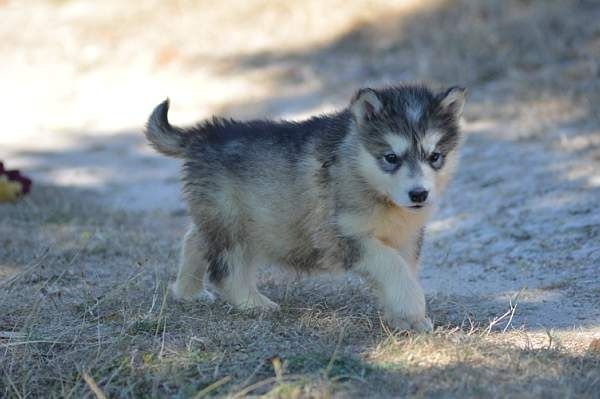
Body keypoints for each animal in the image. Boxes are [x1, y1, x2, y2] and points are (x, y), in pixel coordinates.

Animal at [144, 85, 464, 334]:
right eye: (391, 157)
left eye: (435, 156)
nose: (419, 194)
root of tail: (202, 133)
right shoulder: (345, 236)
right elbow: (393, 267)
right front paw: (413, 309)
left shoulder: (407, 238)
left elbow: (404, 272)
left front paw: (404, 318)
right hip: (235, 223)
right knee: (226, 270)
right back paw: (254, 303)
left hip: (221, 217)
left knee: (194, 239)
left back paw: (189, 293)